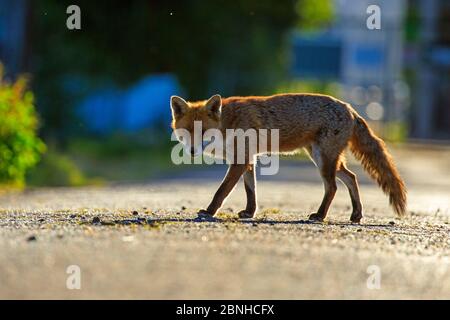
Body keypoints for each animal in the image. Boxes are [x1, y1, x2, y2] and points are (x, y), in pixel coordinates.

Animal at [171, 92, 406, 222]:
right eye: (186, 132)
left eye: (203, 132)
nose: (192, 151)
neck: (228, 123)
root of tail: (349, 107)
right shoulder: (248, 159)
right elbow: (251, 191)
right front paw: (250, 212)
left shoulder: (240, 161)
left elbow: (221, 191)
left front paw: (209, 212)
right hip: (324, 158)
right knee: (351, 178)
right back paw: (356, 215)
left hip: (324, 160)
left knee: (333, 187)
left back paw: (320, 216)